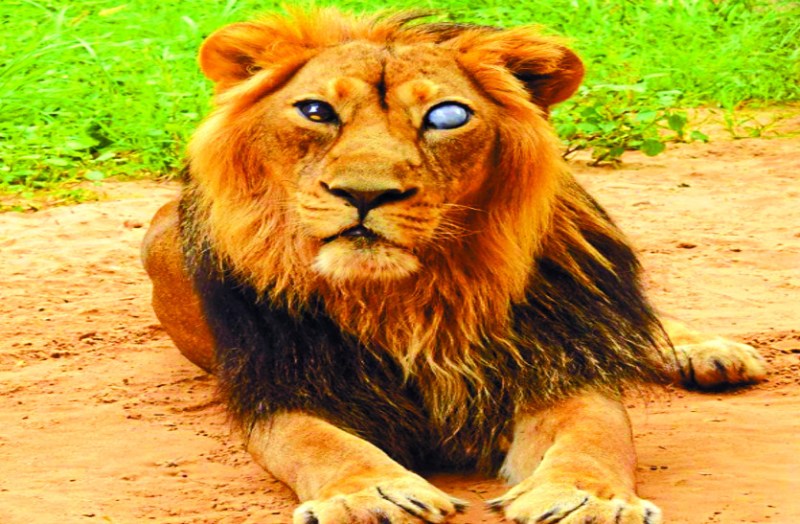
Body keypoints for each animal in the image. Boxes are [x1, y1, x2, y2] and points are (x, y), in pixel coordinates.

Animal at [141, 9, 767, 523]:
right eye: (317, 111)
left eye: (445, 116)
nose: (364, 193)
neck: (406, 297)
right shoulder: (285, 385)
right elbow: (319, 444)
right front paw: (371, 494)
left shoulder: (553, 364)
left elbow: (597, 432)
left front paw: (585, 497)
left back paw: (706, 351)